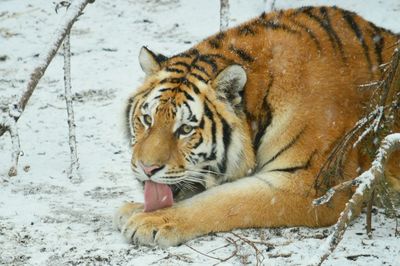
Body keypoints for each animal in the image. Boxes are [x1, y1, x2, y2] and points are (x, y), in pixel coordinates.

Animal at [113, 6, 400, 247]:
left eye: (185, 129)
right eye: (147, 120)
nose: (146, 168)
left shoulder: (313, 184)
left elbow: (224, 200)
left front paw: (151, 220)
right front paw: (135, 208)